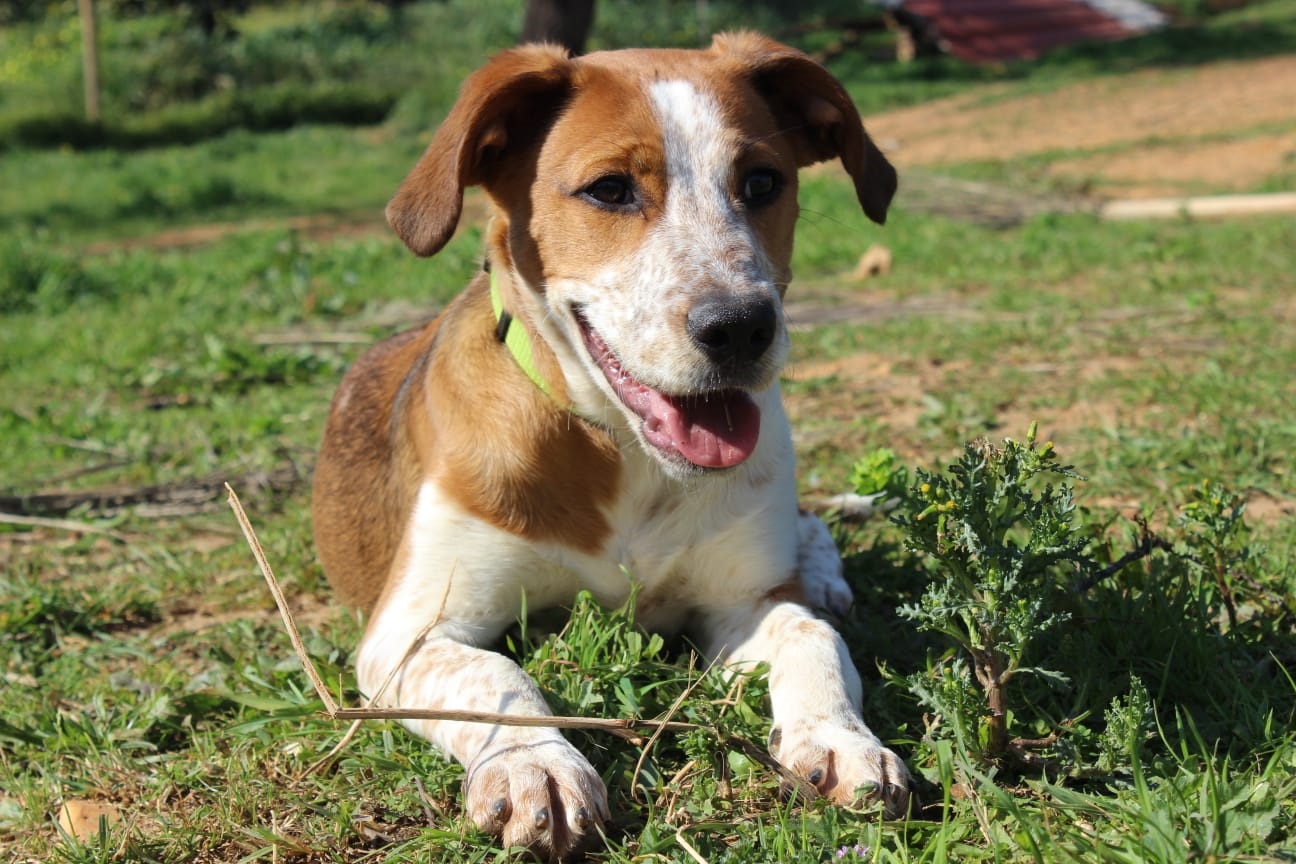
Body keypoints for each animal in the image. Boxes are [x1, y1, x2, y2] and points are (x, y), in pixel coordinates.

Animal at [312, 31, 908, 858]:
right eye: (609, 190)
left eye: (762, 182)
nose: (740, 329)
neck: (626, 457)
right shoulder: (408, 634)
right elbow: (495, 678)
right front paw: (533, 764)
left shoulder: (743, 600)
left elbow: (807, 637)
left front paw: (843, 738)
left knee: (809, 534)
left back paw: (822, 575)